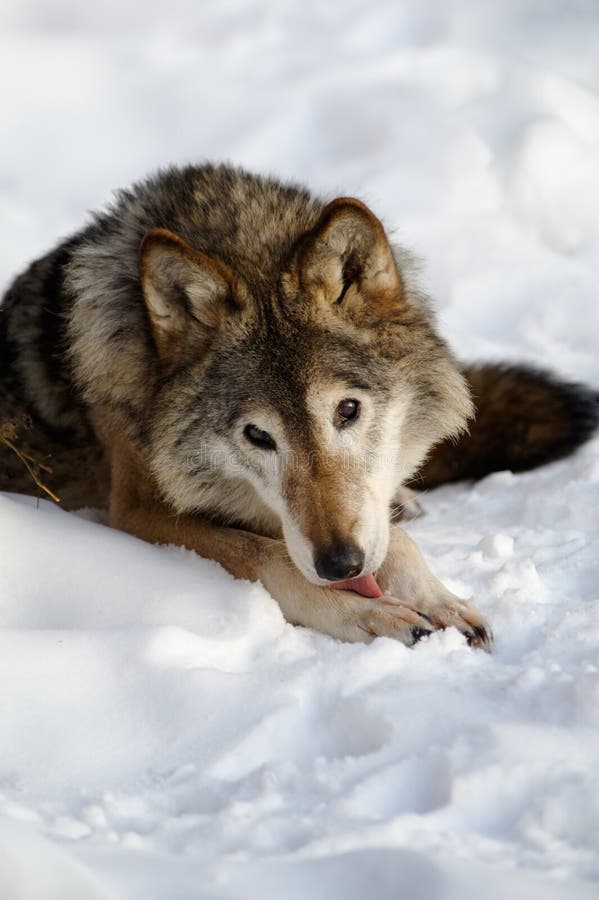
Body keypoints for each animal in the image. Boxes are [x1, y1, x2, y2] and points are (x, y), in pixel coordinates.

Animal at [1, 164, 597, 647]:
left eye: (347, 411)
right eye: (257, 436)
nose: (340, 563)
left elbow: (393, 541)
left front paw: (440, 599)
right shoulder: (137, 511)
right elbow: (269, 558)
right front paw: (370, 614)